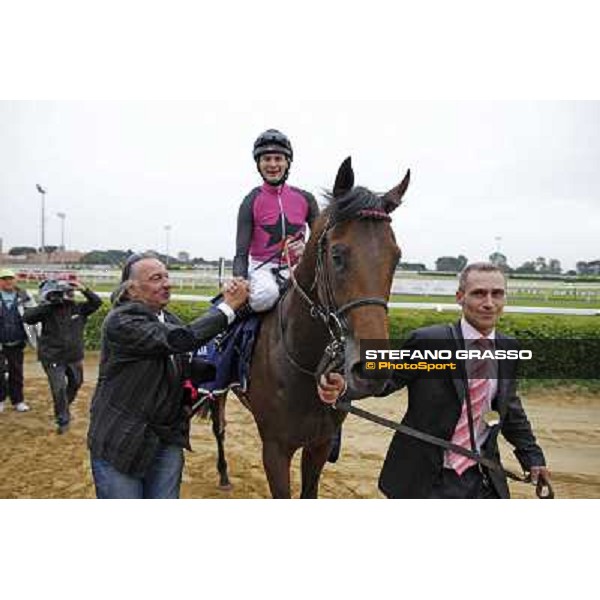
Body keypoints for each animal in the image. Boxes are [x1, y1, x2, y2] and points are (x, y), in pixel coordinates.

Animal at [210, 156, 408, 496]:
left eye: (396, 258)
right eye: (337, 255)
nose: (372, 370)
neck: (301, 361)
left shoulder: (320, 443)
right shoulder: (275, 448)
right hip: (217, 390)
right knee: (219, 427)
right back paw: (223, 475)